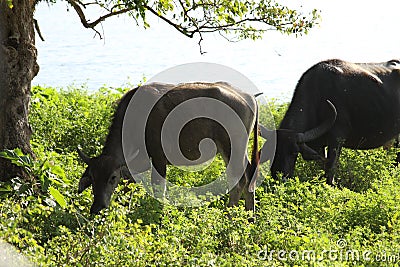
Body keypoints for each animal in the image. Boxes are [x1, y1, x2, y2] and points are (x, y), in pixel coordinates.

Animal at [77, 81, 260, 214]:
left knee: (239, 180)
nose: (97, 208)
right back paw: (249, 217)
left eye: (112, 177)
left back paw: (230, 215)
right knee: (247, 176)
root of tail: (249, 97)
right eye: (92, 177)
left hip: (232, 147)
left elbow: (159, 189)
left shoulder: (159, 159)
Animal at [262, 59, 400, 185]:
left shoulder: (336, 140)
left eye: (294, 152)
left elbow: (330, 170)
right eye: (272, 152)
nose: (279, 177)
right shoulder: (319, 145)